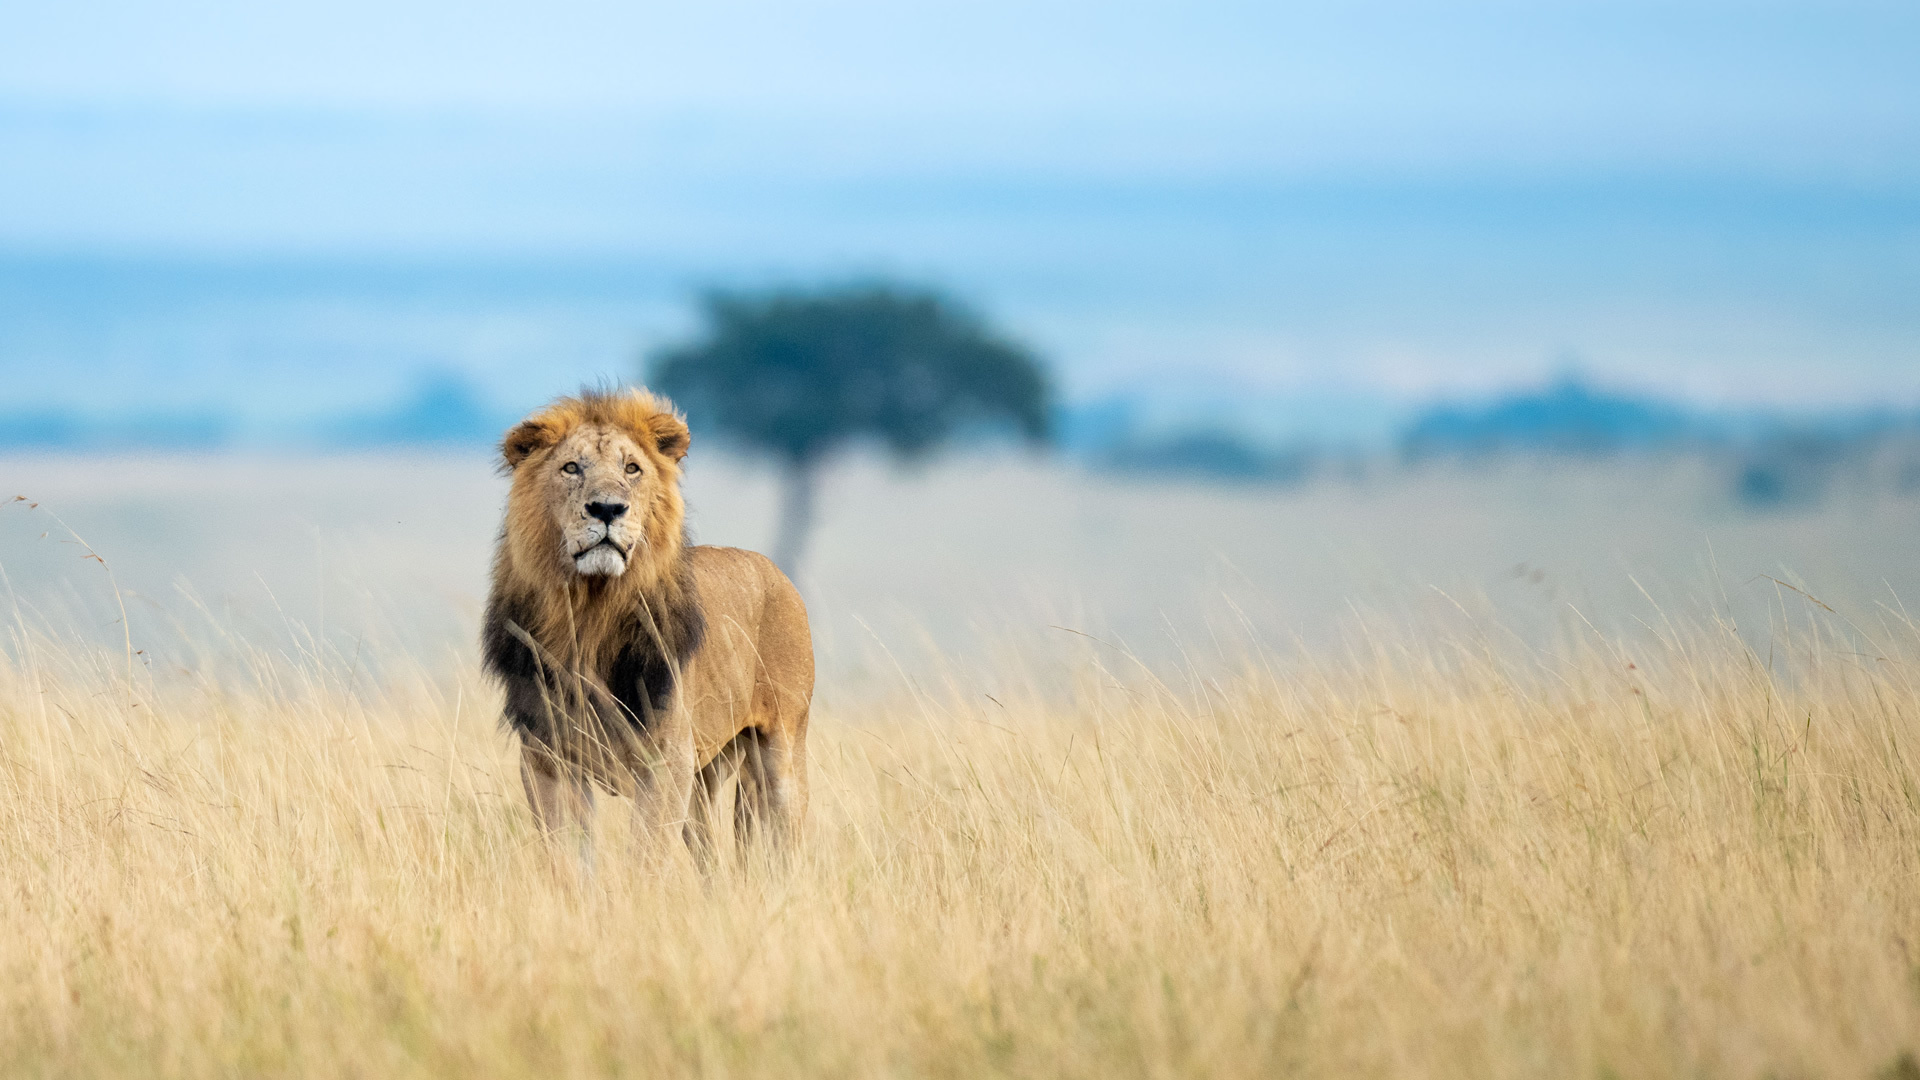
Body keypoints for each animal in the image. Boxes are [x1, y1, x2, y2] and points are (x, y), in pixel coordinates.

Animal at [483, 386, 814, 864]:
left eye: (632, 469)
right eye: (571, 467)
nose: (607, 508)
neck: (591, 615)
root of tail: (777, 572)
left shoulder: (665, 761)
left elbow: (645, 855)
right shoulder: (547, 759)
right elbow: (568, 859)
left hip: (780, 753)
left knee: (784, 843)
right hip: (703, 781)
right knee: (713, 859)